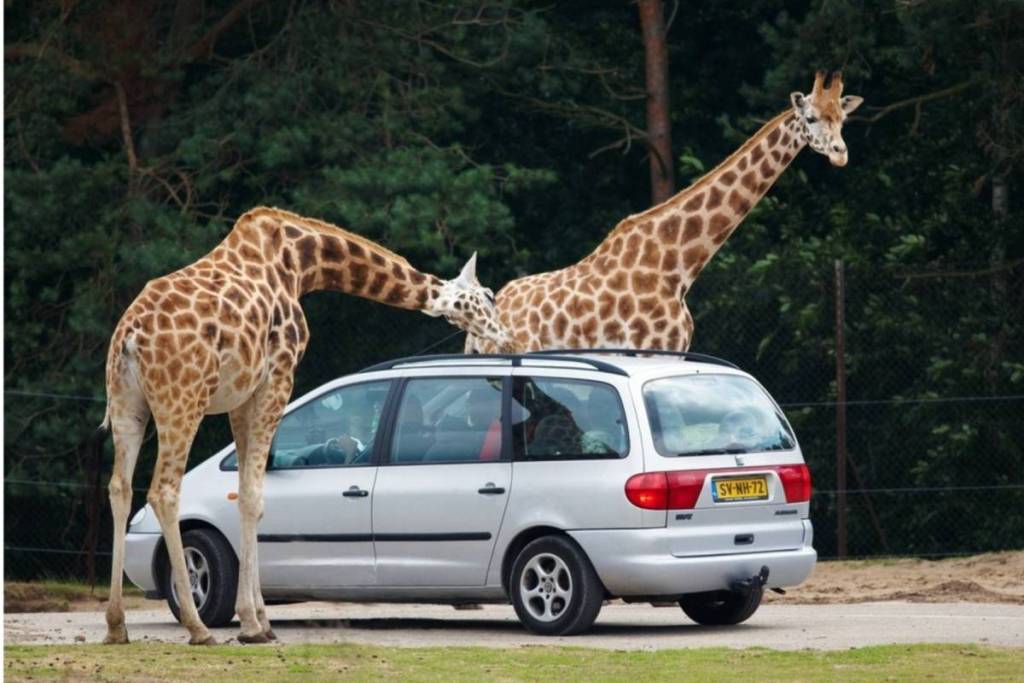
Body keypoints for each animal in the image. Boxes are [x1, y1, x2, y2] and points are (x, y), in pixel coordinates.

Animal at [100, 206, 516, 645]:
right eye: (489, 296)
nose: (507, 339)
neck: (301, 262)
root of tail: (129, 337)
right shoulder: (278, 377)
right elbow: (254, 497)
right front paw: (253, 624)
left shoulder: (243, 395)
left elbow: (244, 494)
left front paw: (259, 620)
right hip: (182, 400)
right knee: (163, 490)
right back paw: (198, 628)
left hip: (128, 406)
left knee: (119, 488)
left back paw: (116, 625)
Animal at [466, 71, 863, 353]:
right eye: (810, 118)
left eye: (842, 119)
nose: (841, 153)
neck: (677, 266)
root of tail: (495, 307)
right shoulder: (649, 348)